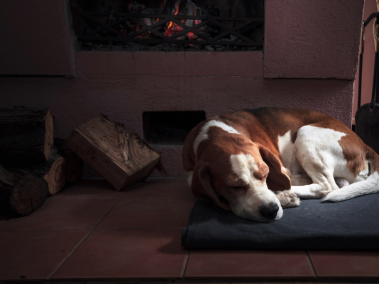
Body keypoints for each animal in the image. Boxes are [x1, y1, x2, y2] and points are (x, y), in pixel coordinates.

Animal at [183, 107, 379, 223]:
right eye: (234, 187)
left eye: (265, 174)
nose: (270, 211)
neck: (215, 132)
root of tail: (365, 145)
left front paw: (283, 195)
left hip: (305, 134)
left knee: (327, 187)